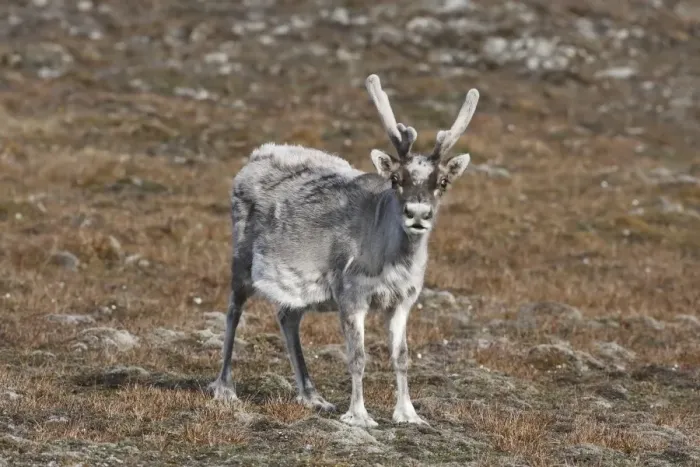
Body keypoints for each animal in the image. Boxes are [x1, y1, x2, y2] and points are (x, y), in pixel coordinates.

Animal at [208, 74, 480, 428]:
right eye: (396, 178)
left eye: (443, 182)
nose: (417, 213)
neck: (394, 261)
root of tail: (255, 156)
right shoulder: (352, 295)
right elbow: (357, 356)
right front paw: (359, 415)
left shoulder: (404, 300)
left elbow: (402, 356)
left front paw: (409, 413)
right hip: (241, 260)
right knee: (233, 311)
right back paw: (225, 388)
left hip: (299, 290)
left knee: (287, 317)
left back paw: (312, 396)